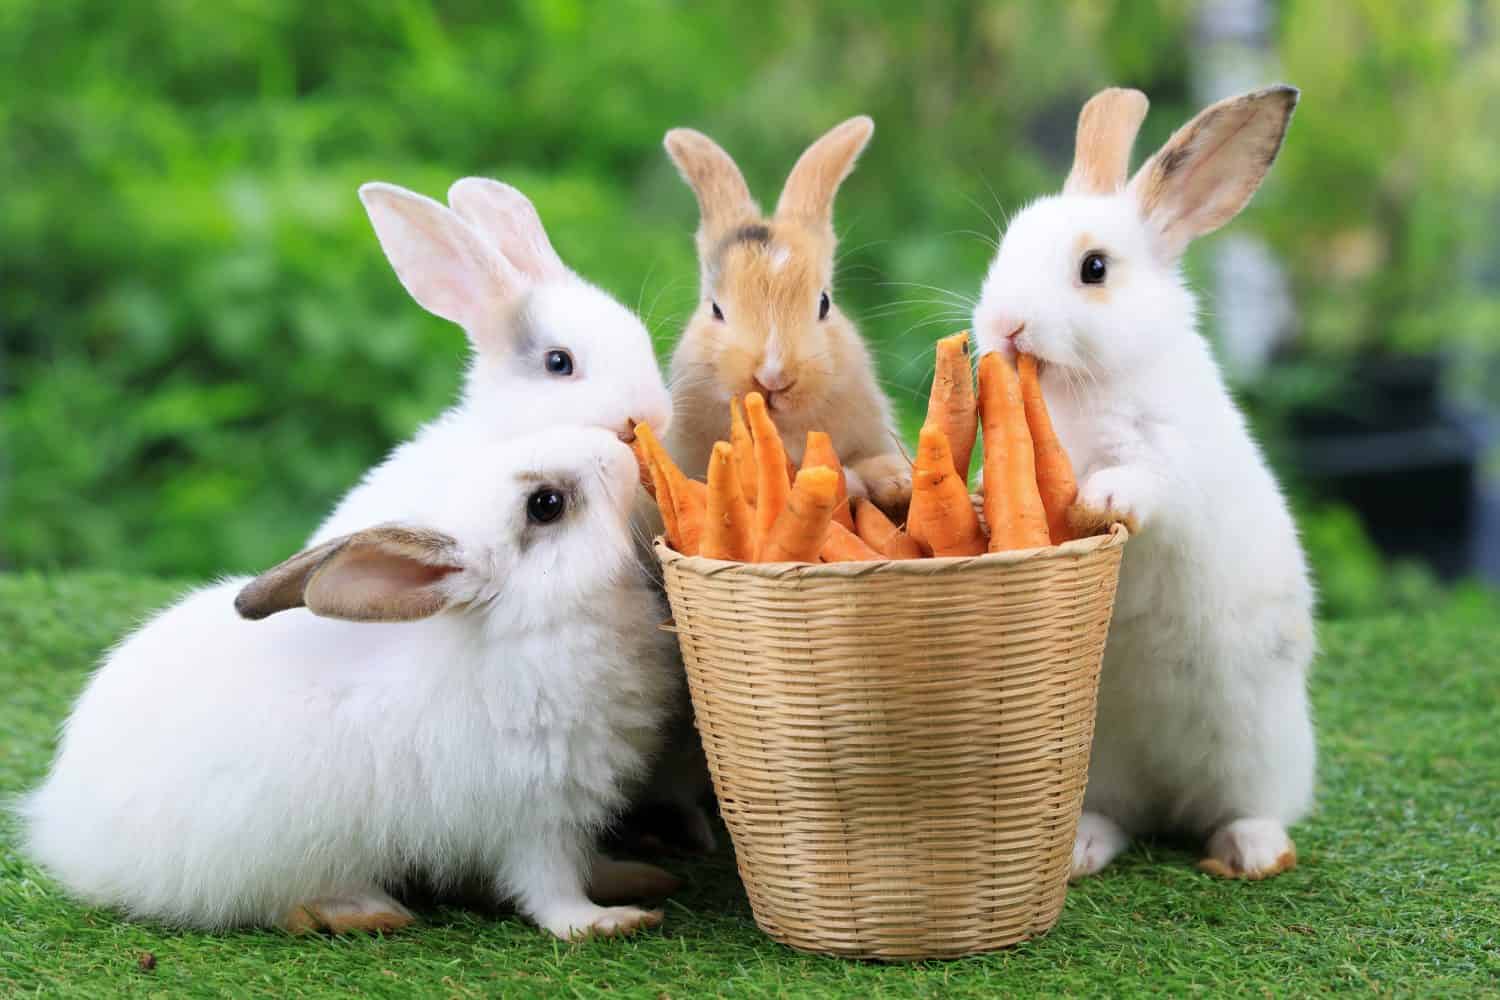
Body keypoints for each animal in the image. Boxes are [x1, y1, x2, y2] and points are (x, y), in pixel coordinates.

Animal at [16, 425, 687, 941]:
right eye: (547, 504)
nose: (618, 442)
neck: (531, 625)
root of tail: (63, 826)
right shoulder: (534, 814)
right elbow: (550, 889)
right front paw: (608, 921)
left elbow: (590, 860)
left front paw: (637, 877)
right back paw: (365, 912)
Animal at [972, 88, 1314, 881]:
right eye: (1004, 250)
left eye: (1094, 268)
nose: (1005, 326)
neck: (1082, 388)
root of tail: (1168, 799)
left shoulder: (1170, 455)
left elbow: (1142, 481)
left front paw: (1098, 501)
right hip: (1100, 766)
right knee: (1118, 819)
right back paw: (1082, 852)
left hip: (1263, 750)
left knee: (1249, 808)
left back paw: (1251, 853)